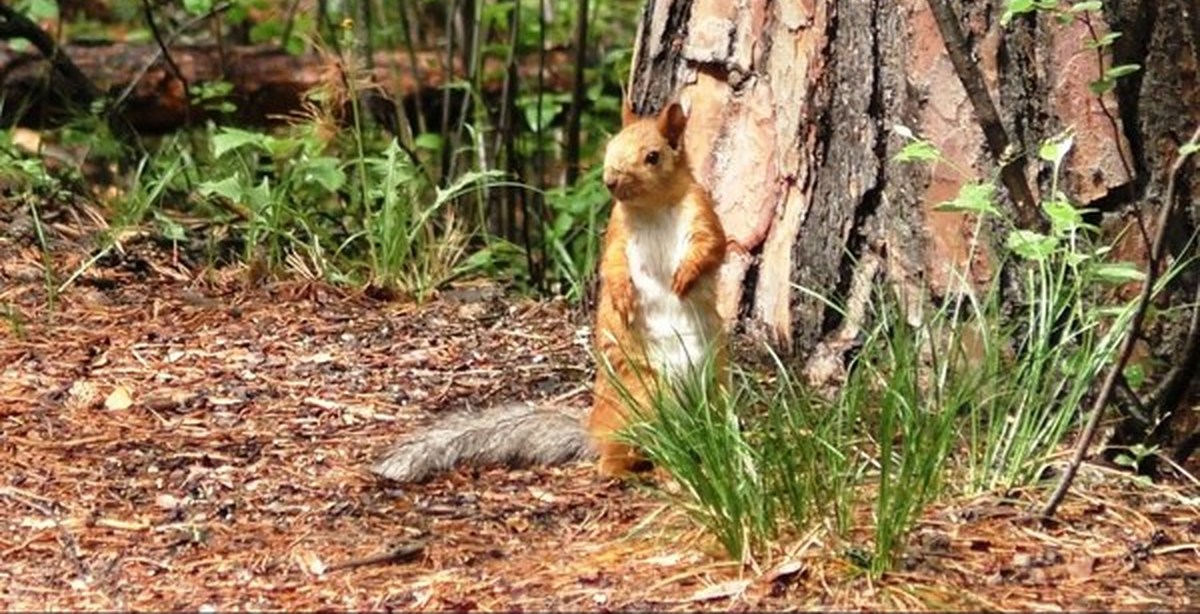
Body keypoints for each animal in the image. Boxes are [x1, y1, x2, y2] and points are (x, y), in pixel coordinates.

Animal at [374, 100, 724, 484]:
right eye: (610, 146)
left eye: (652, 156)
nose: (610, 181)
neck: (653, 208)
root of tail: (593, 429)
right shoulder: (616, 231)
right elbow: (612, 265)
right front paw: (622, 297)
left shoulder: (702, 212)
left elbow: (712, 247)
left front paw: (684, 277)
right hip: (637, 402)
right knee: (616, 456)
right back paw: (628, 472)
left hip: (711, 390)